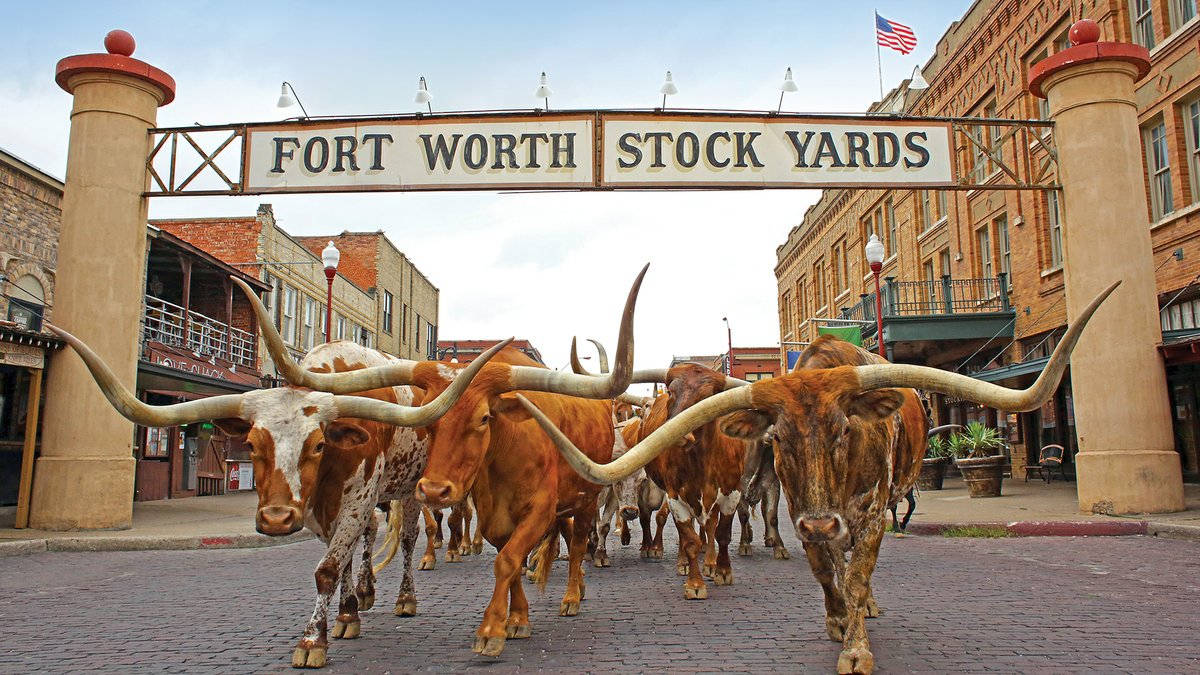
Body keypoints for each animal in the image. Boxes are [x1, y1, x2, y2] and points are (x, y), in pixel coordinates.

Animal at [46, 281, 504, 662]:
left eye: (317, 444)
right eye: (252, 445)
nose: (277, 518)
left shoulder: (356, 499)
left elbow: (327, 569)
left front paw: (312, 641)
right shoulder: (322, 507)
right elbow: (336, 560)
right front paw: (344, 616)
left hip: (408, 487)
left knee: (410, 538)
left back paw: (405, 598)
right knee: (372, 536)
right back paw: (362, 596)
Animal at [520, 281, 1118, 667]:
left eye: (844, 430)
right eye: (671, 391)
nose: (680, 429)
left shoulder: (858, 513)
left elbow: (845, 572)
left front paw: (854, 642)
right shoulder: (786, 511)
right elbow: (793, 563)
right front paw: (699, 580)